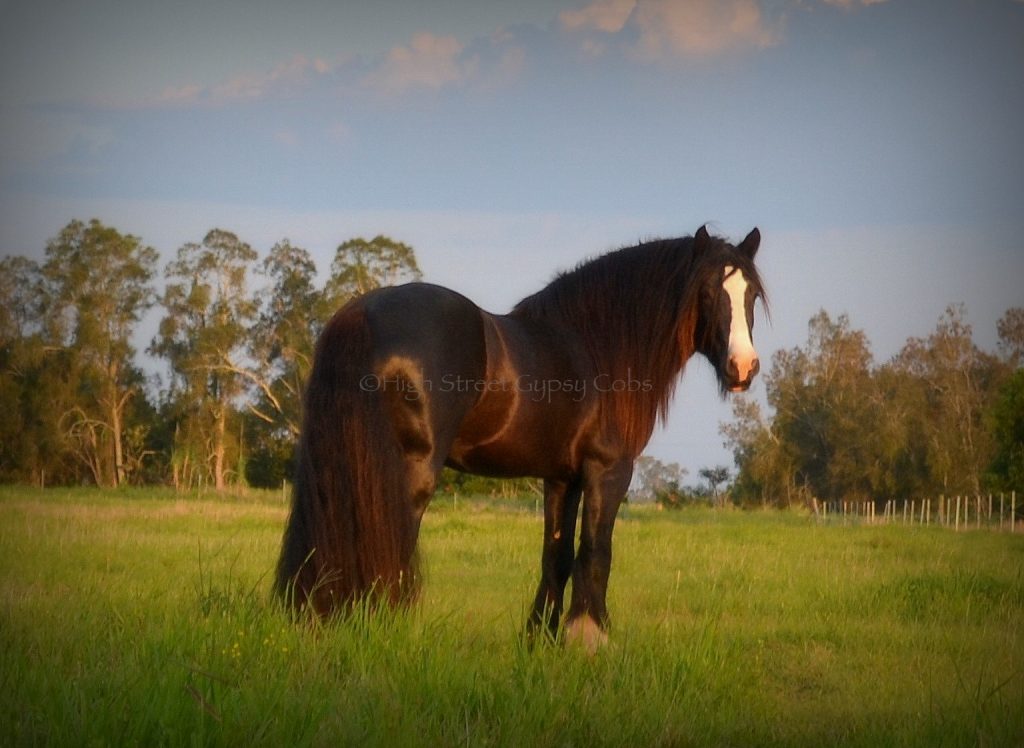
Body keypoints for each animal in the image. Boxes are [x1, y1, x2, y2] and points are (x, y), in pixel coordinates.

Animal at [276, 223, 765, 647]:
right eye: (706, 292)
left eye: (753, 295)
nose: (744, 368)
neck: (595, 347)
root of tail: (362, 314)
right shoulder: (609, 470)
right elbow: (596, 551)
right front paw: (590, 638)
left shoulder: (562, 478)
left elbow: (558, 556)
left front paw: (540, 639)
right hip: (410, 471)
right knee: (391, 541)